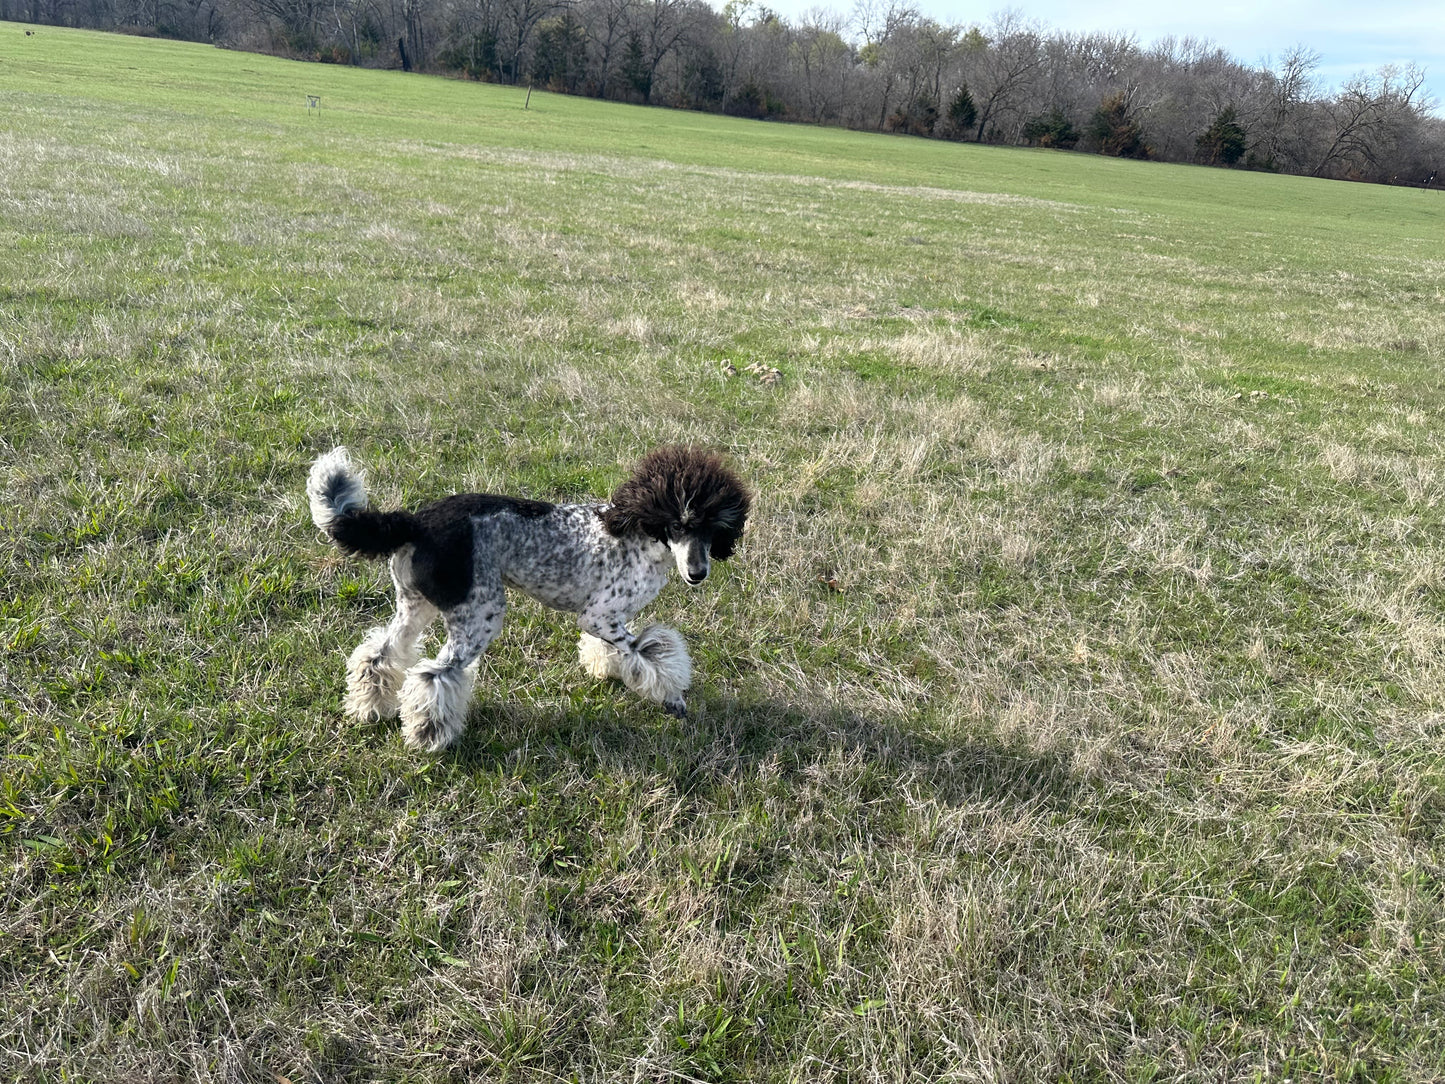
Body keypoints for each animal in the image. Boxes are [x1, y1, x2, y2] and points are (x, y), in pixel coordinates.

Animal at [309, 445, 751, 751]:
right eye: (679, 524)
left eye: (714, 528)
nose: (697, 574)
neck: (636, 533)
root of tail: (415, 522)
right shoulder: (601, 617)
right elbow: (651, 656)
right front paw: (673, 699)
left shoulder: (605, 619)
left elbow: (614, 652)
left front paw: (605, 670)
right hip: (480, 616)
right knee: (433, 675)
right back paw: (429, 736)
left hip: (416, 606)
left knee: (378, 655)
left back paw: (369, 708)